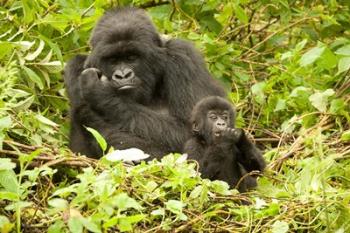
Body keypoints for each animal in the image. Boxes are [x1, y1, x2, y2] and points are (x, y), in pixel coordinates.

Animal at [64, 7, 226, 160]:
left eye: (131, 57)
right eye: (113, 60)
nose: (123, 75)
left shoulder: (183, 56)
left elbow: (190, 131)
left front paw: (102, 92)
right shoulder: (75, 66)